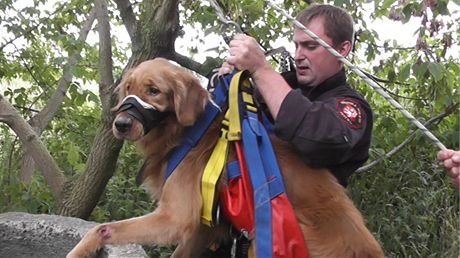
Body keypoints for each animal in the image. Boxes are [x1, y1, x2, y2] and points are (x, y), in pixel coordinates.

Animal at [67, 58, 384, 258]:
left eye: (154, 91)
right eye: (128, 89)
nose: (120, 124)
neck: (186, 134)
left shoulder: (175, 218)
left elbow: (101, 228)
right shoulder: (203, 230)